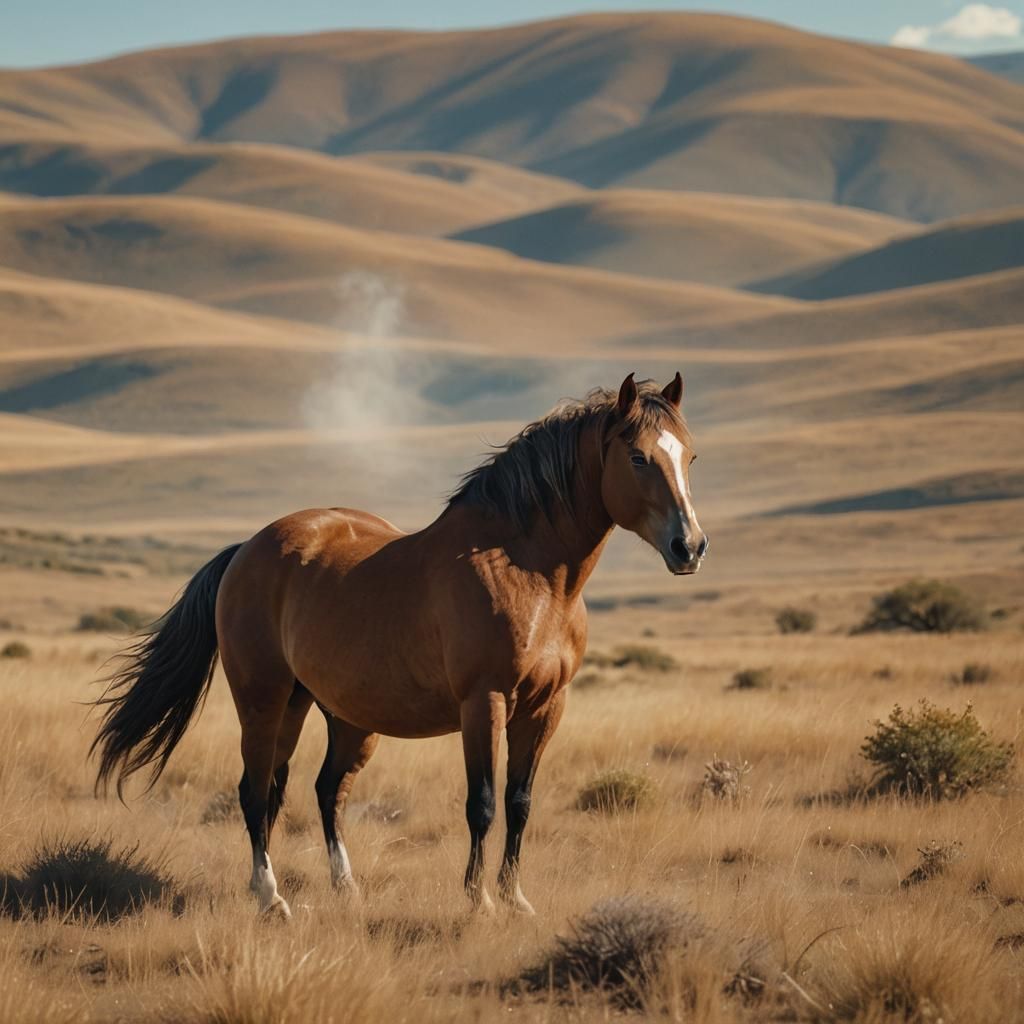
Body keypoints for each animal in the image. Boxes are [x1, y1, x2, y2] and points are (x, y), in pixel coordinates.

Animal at [91, 372, 707, 918]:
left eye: (691, 458)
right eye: (637, 458)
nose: (690, 547)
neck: (528, 572)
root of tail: (248, 548)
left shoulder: (546, 708)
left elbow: (520, 803)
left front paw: (515, 899)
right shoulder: (484, 703)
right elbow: (482, 804)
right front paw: (479, 900)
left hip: (332, 713)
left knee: (319, 790)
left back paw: (344, 889)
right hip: (263, 700)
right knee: (255, 791)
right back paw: (271, 898)